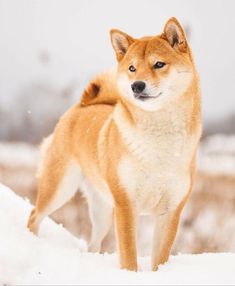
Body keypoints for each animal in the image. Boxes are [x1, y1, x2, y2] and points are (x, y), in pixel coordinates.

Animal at [27, 16, 200, 272]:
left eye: (159, 64)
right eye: (132, 68)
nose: (136, 85)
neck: (159, 137)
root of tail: (81, 106)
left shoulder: (170, 211)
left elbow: (160, 259)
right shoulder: (126, 205)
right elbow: (129, 256)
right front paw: (130, 274)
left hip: (103, 210)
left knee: (93, 243)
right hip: (60, 188)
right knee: (34, 215)